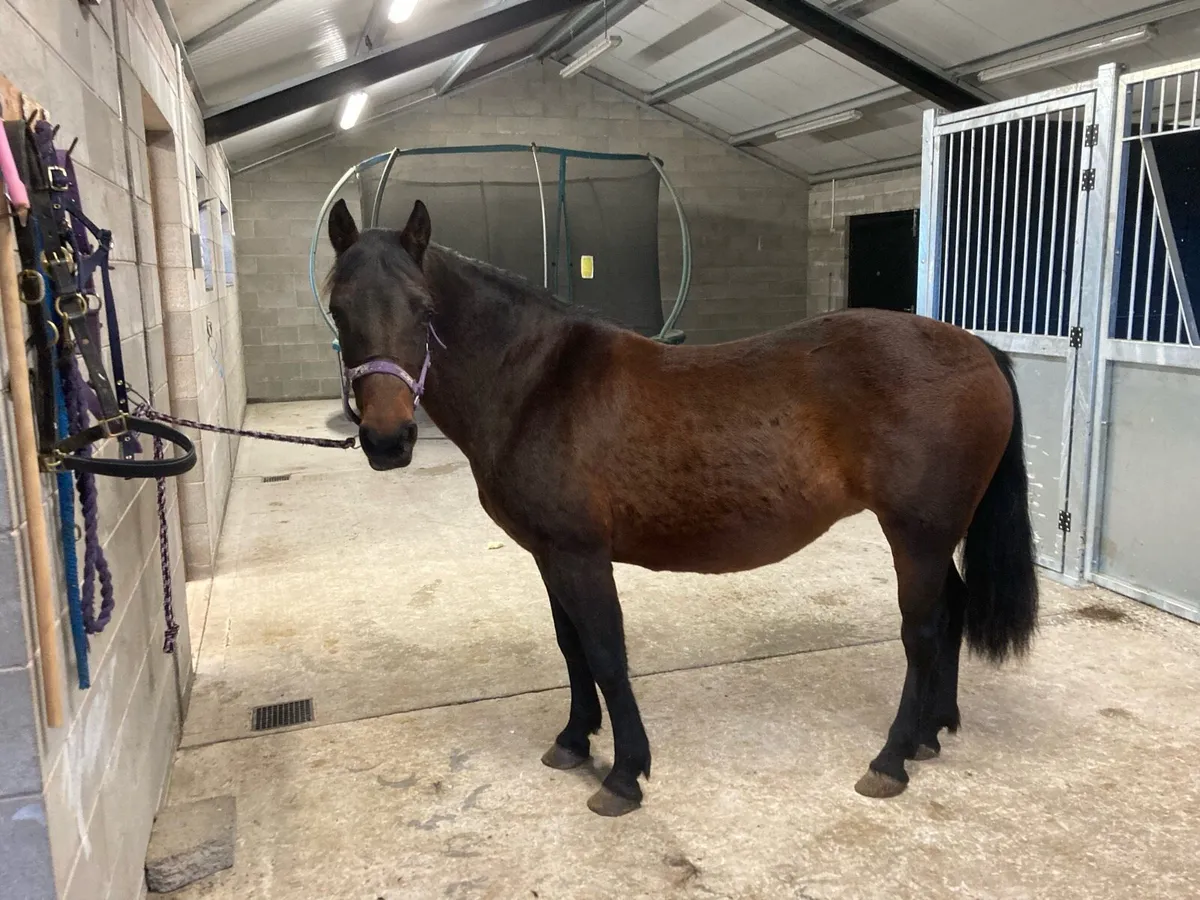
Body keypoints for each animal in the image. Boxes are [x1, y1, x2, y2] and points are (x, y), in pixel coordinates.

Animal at [324, 197, 1039, 817]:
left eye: (424, 309)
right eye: (337, 308)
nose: (388, 440)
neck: (536, 383)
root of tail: (978, 349)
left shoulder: (581, 555)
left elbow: (606, 652)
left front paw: (623, 774)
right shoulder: (548, 554)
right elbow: (570, 646)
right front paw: (573, 740)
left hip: (915, 535)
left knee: (922, 632)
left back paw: (891, 759)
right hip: (933, 536)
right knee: (952, 610)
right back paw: (931, 733)